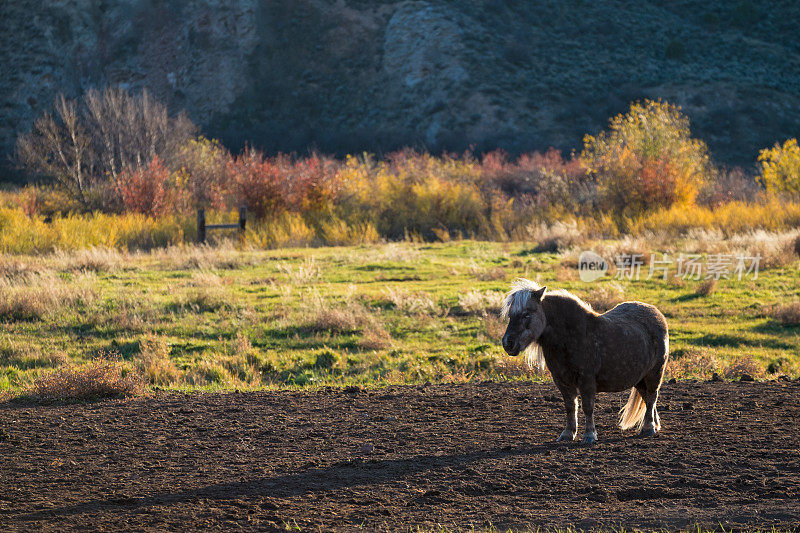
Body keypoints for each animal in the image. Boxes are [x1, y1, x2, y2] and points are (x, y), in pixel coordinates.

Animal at [500, 278, 668, 444]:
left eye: (526, 314)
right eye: (510, 315)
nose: (508, 343)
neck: (570, 338)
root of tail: (657, 314)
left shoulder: (586, 381)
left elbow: (588, 407)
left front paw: (589, 435)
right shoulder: (562, 381)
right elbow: (570, 407)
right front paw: (568, 434)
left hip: (655, 373)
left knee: (652, 397)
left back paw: (648, 427)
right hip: (639, 378)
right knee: (647, 398)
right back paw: (655, 425)